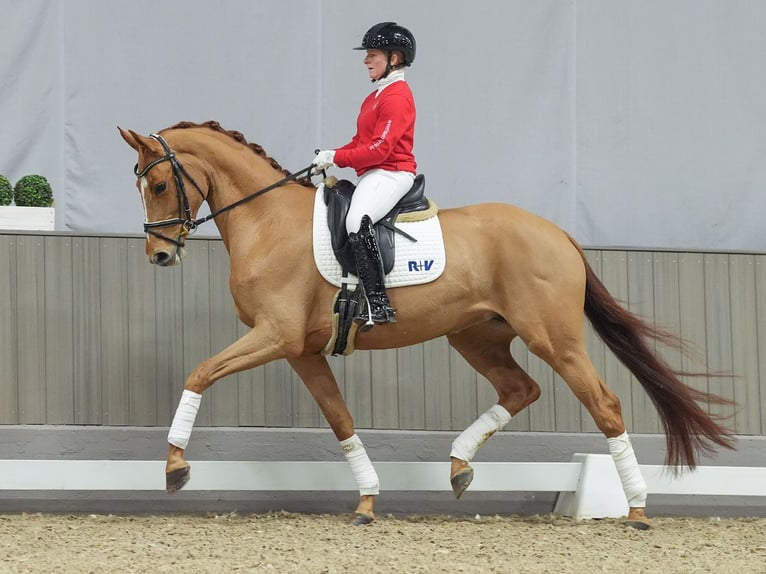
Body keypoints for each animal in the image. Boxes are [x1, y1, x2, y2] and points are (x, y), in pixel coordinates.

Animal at [120, 121, 736, 532]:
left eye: (159, 186)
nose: (159, 255)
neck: (266, 221)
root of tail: (557, 232)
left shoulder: (276, 337)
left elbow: (200, 372)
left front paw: (175, 466)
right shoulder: (301, 350)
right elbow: (340, 418)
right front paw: (368, 500)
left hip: (553, 338)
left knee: (603, 403)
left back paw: (637, 509)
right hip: (476, 335)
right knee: (521, 389)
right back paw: (460, 467)